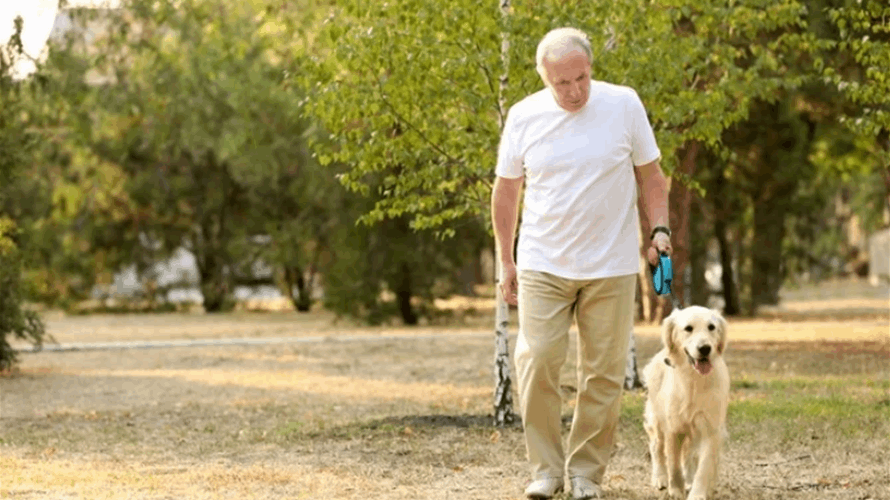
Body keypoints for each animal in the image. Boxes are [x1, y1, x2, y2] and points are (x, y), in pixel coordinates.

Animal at [644, 304, 728, 500]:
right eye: (688, 328)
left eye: (711, 327)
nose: (705, 348)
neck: (694, 380)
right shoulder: (673, 428)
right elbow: (673, 463)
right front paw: (675, 490)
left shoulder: (711, 429)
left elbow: (703, 467)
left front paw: (697, 492)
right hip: (656, 419)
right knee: (656, 447)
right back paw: (660, 478)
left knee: (689, 455)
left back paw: (689, 479)